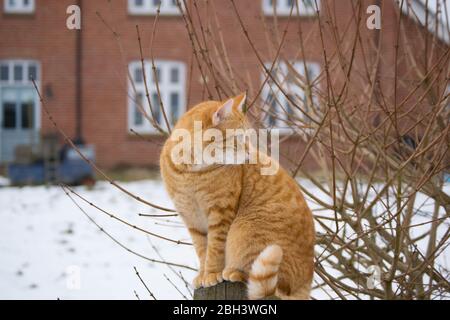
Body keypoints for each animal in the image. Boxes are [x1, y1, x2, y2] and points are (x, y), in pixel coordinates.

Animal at [160, 93, 314, 300]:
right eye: (239, 138)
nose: (249, 153)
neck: (191, 171)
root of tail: (306, 283)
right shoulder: (191, 218)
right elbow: (202, 249)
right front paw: (203, 274)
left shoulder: (221, 212)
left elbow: (214, 249)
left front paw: (212, 273)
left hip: (244, 230)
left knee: (271, 285)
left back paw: (234, 272)